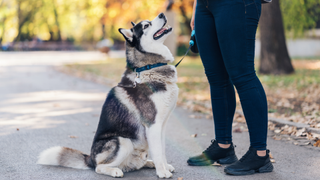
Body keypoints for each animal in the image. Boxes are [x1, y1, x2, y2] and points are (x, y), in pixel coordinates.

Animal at [37, 13, 180, 179]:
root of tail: (90, 158)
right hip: (123, 141)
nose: (162, 14)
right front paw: (162, 172)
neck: (148, 68)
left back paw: (148, 163)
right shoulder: (153, 125)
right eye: (146, 25)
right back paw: (114, 170)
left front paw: (165, 167)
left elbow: (162, 151)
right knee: (99, 167)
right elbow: (158, 152)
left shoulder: (161, 126)